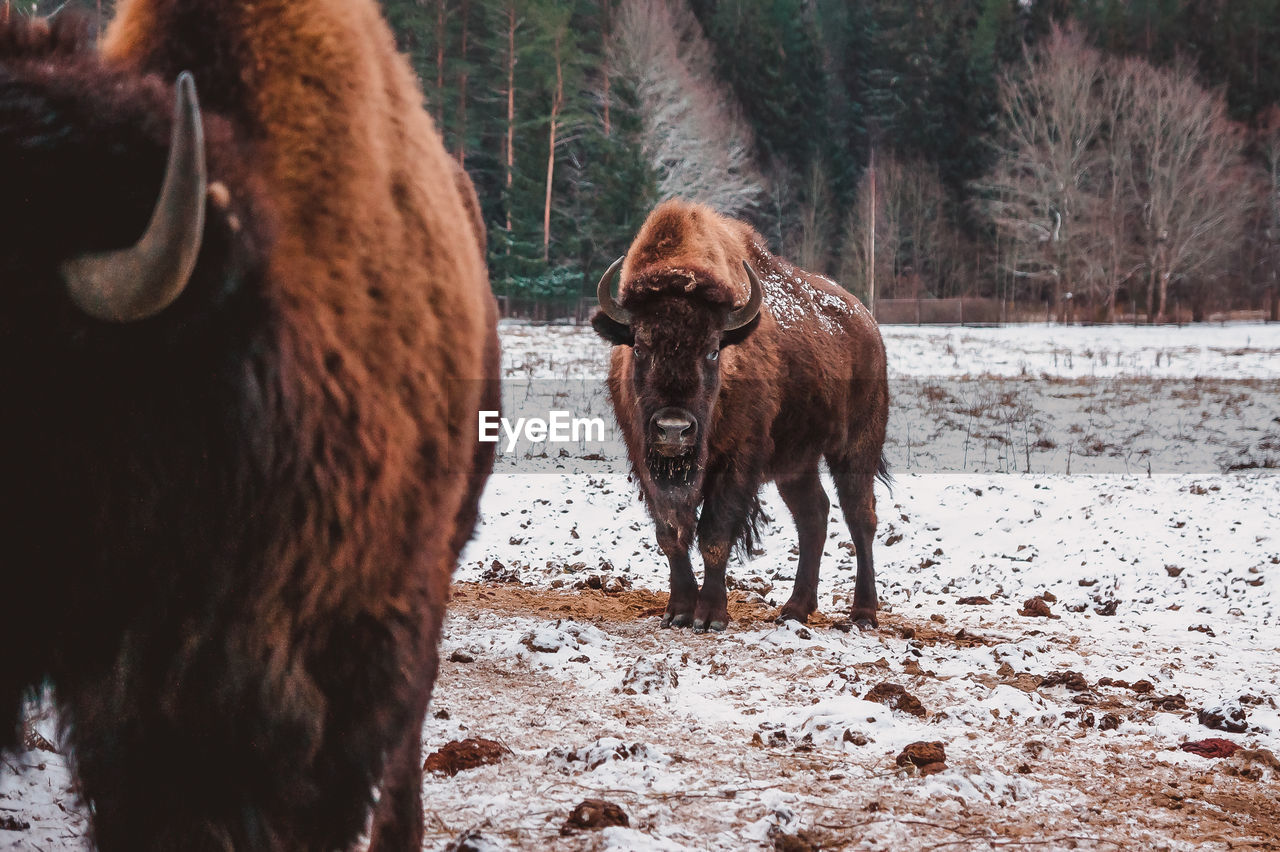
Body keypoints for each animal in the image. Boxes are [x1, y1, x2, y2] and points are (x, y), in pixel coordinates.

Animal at [591, 199, 885, 629]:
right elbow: (671, 535)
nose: (674, 430)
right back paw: (795, 609)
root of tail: (866, 323)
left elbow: (715, 535)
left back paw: (863, 612)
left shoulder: (737, 460)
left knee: (860, 516)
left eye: (713, 350)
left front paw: (710, 616)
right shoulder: (646, 460)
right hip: (796, 462)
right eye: (640, 347)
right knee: (813, 515)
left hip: (857, 445)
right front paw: (678, 611)